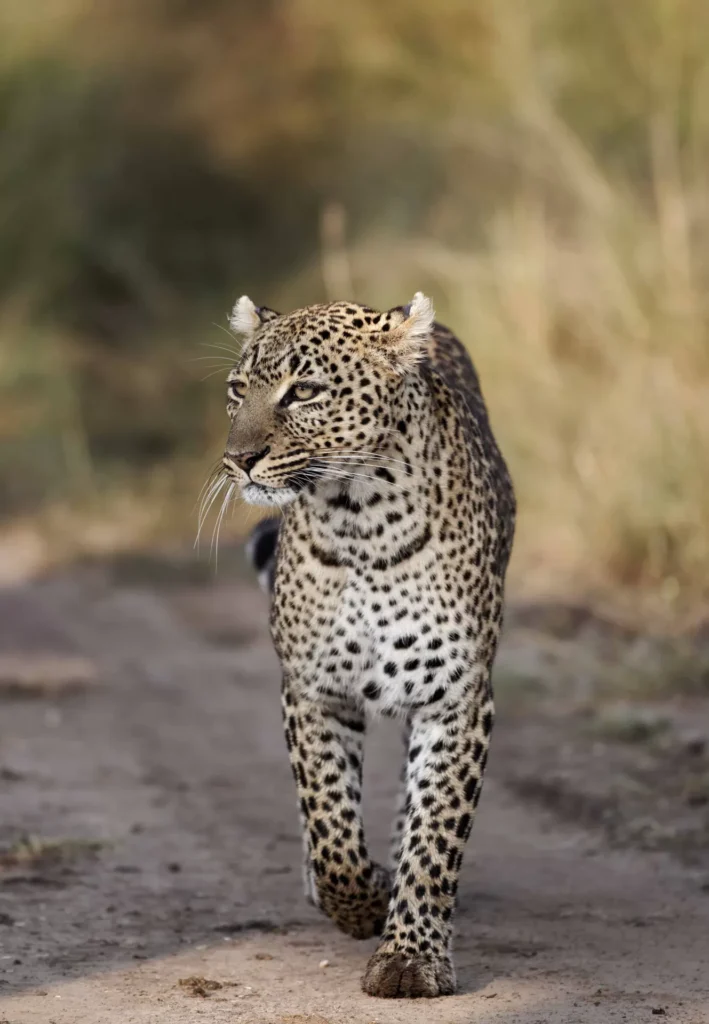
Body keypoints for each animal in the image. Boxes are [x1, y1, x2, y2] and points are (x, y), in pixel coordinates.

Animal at [218, 291, 515, 998]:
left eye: (303, 391)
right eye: (238, 390)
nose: (237, 459)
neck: (362, 522)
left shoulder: (457, 697)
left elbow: (437, 830)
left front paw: (410, 957)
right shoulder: (313, 690)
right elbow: (330, 824)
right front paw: (361, 902)